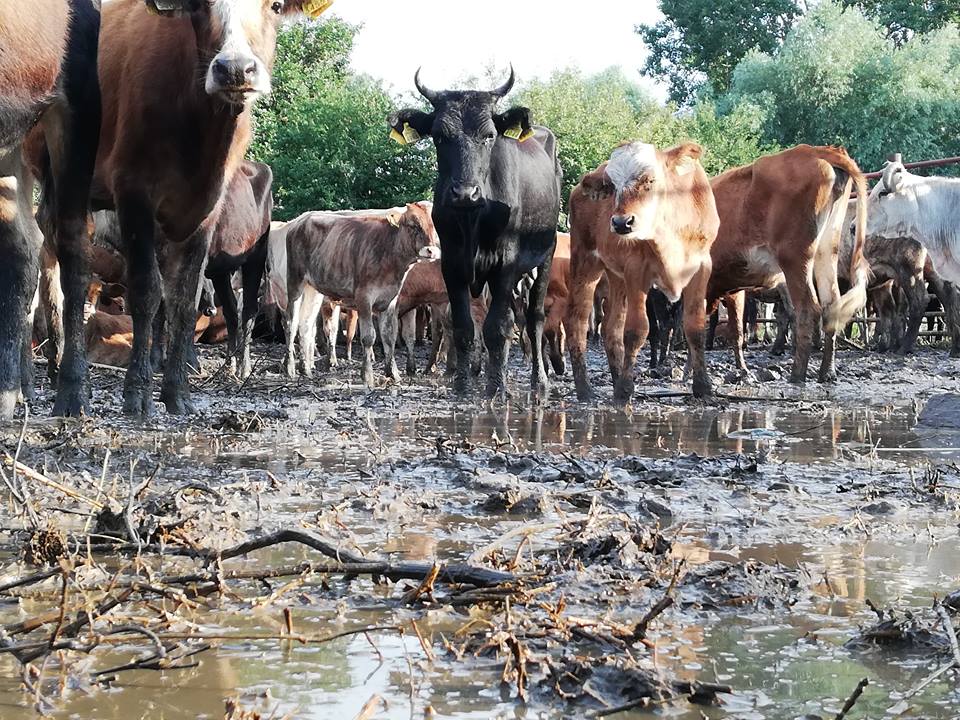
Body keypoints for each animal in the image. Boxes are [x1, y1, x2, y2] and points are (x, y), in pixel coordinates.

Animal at [91, 0, 326, 416]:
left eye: (276, 7)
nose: (235, 69)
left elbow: (180, 300)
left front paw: (180, 373)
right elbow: (157, 298)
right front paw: (154, 370)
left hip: (254, 257)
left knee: (246, 311)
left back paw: (241, 365)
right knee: (230, 311)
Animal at [283, 204, 440, 387]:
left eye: (433, 225)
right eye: (413, 225)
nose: (431, 251)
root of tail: (300, 221)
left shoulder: (390, 300)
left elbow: (389, 336)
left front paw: (393, 373)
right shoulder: (364, 298)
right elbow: (369, 337)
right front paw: (367, 375)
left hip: (313, 289)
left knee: (306, 324)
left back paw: (305, 369)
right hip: (295, 282)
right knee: (291, 323)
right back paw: (290, 368)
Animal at [390, 68, 563, 399]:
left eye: (489, 135)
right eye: (439, 136)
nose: (464, 193)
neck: (473, 219)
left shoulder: (505, 264)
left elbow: (496, 327)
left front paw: (496, 388)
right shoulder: (452, 265)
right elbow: (462, 327)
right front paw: (462, 385)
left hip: (545, 255)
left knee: (534, 318)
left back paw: (540, 382)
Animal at [564, 141, 719, 403]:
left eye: (650, 180)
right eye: (611, 186)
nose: (621, 222)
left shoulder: (701, 266)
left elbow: (696, 327)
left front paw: (703, 387)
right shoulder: (636, 270)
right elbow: (637, 331)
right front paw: (625, 391)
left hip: (616, 276)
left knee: (611, 328)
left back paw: (615, 378)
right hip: (585, 261)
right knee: (577, 321)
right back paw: (585, 389)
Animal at [707, 145, 870, 384]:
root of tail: (816, 150)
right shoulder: (733, 287)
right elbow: (735, 328)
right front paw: (741, 369)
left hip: (794, 259)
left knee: (807, 310)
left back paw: (797, 374)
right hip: (826, 252)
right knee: (831, 305)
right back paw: (827, 372)